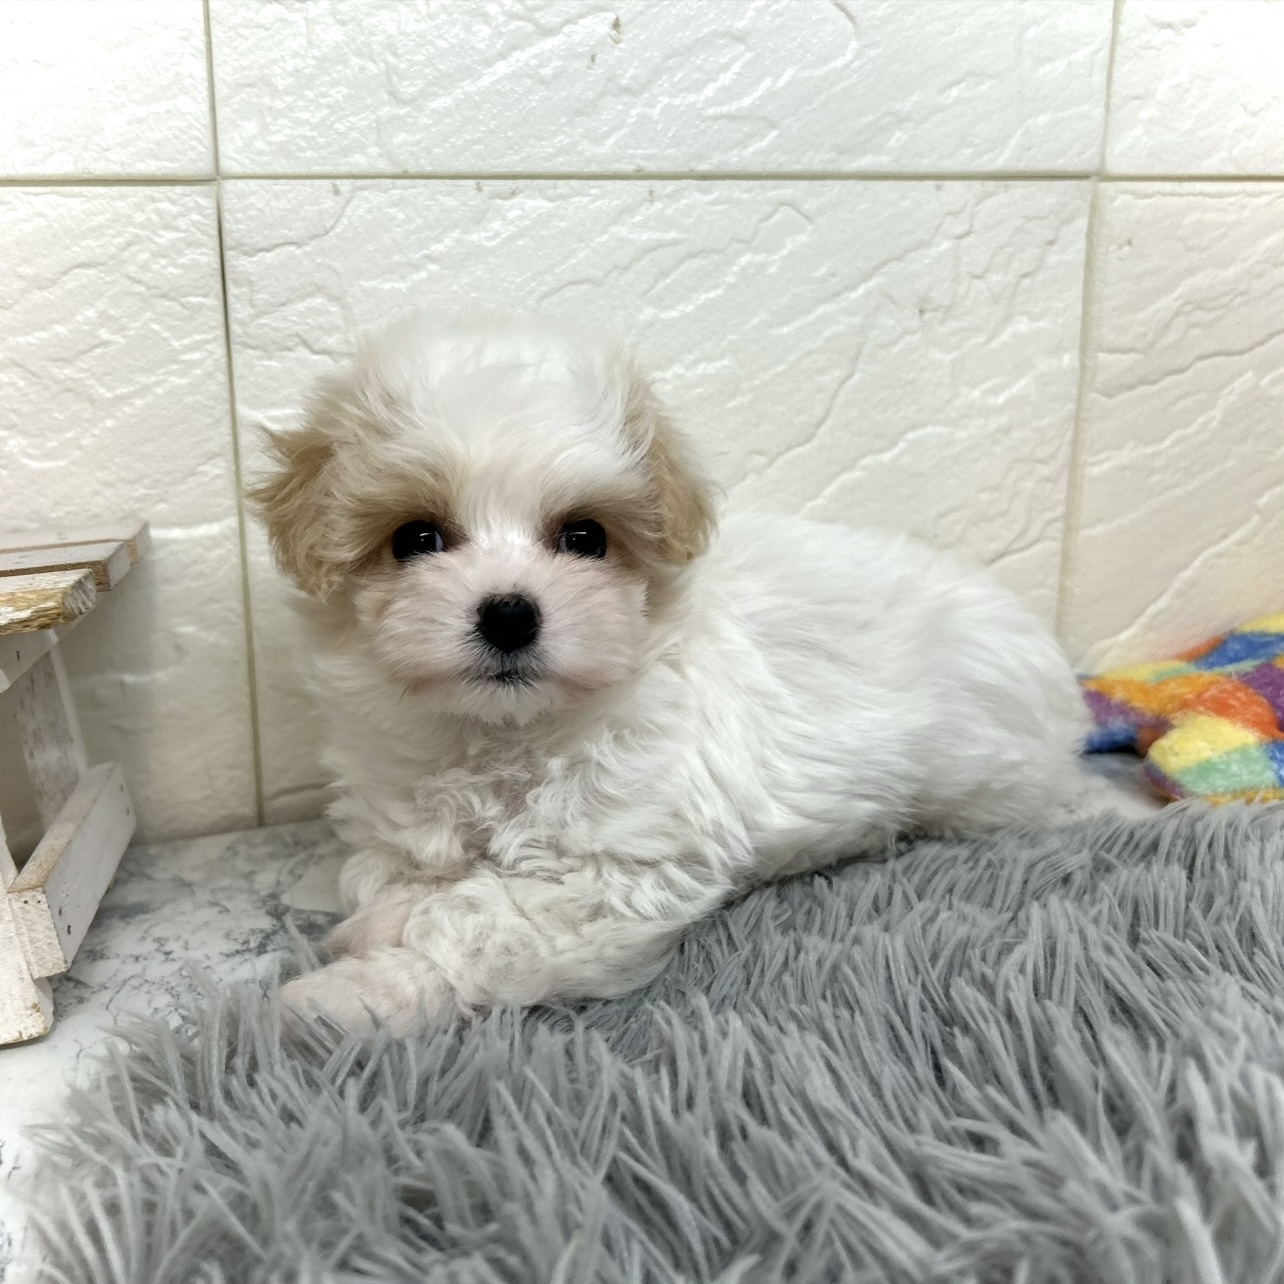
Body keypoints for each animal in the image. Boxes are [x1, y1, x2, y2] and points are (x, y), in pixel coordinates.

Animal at [252, 314, 1088, 1035]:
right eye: (416, 539)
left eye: (584, 538)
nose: (511, 615)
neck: (504, 738)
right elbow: (387, 874)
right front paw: (379, 915)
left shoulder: (618, 872)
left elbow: (482, 923)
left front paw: (352, 995)